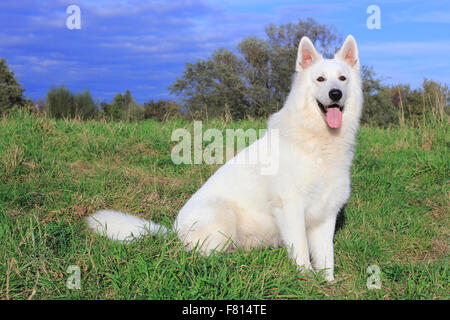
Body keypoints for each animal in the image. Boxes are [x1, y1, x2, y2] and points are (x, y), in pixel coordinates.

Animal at [87, 34, 362, 280]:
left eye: (342, 79)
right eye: (320, 79)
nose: (335, 94)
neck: (319, 142)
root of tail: (173, 230)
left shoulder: (326, 215)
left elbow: (327, 258)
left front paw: (327, 283)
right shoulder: (291, 208)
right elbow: (302, 251)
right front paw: (306, 280)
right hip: (223, 214)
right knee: (195, 254)